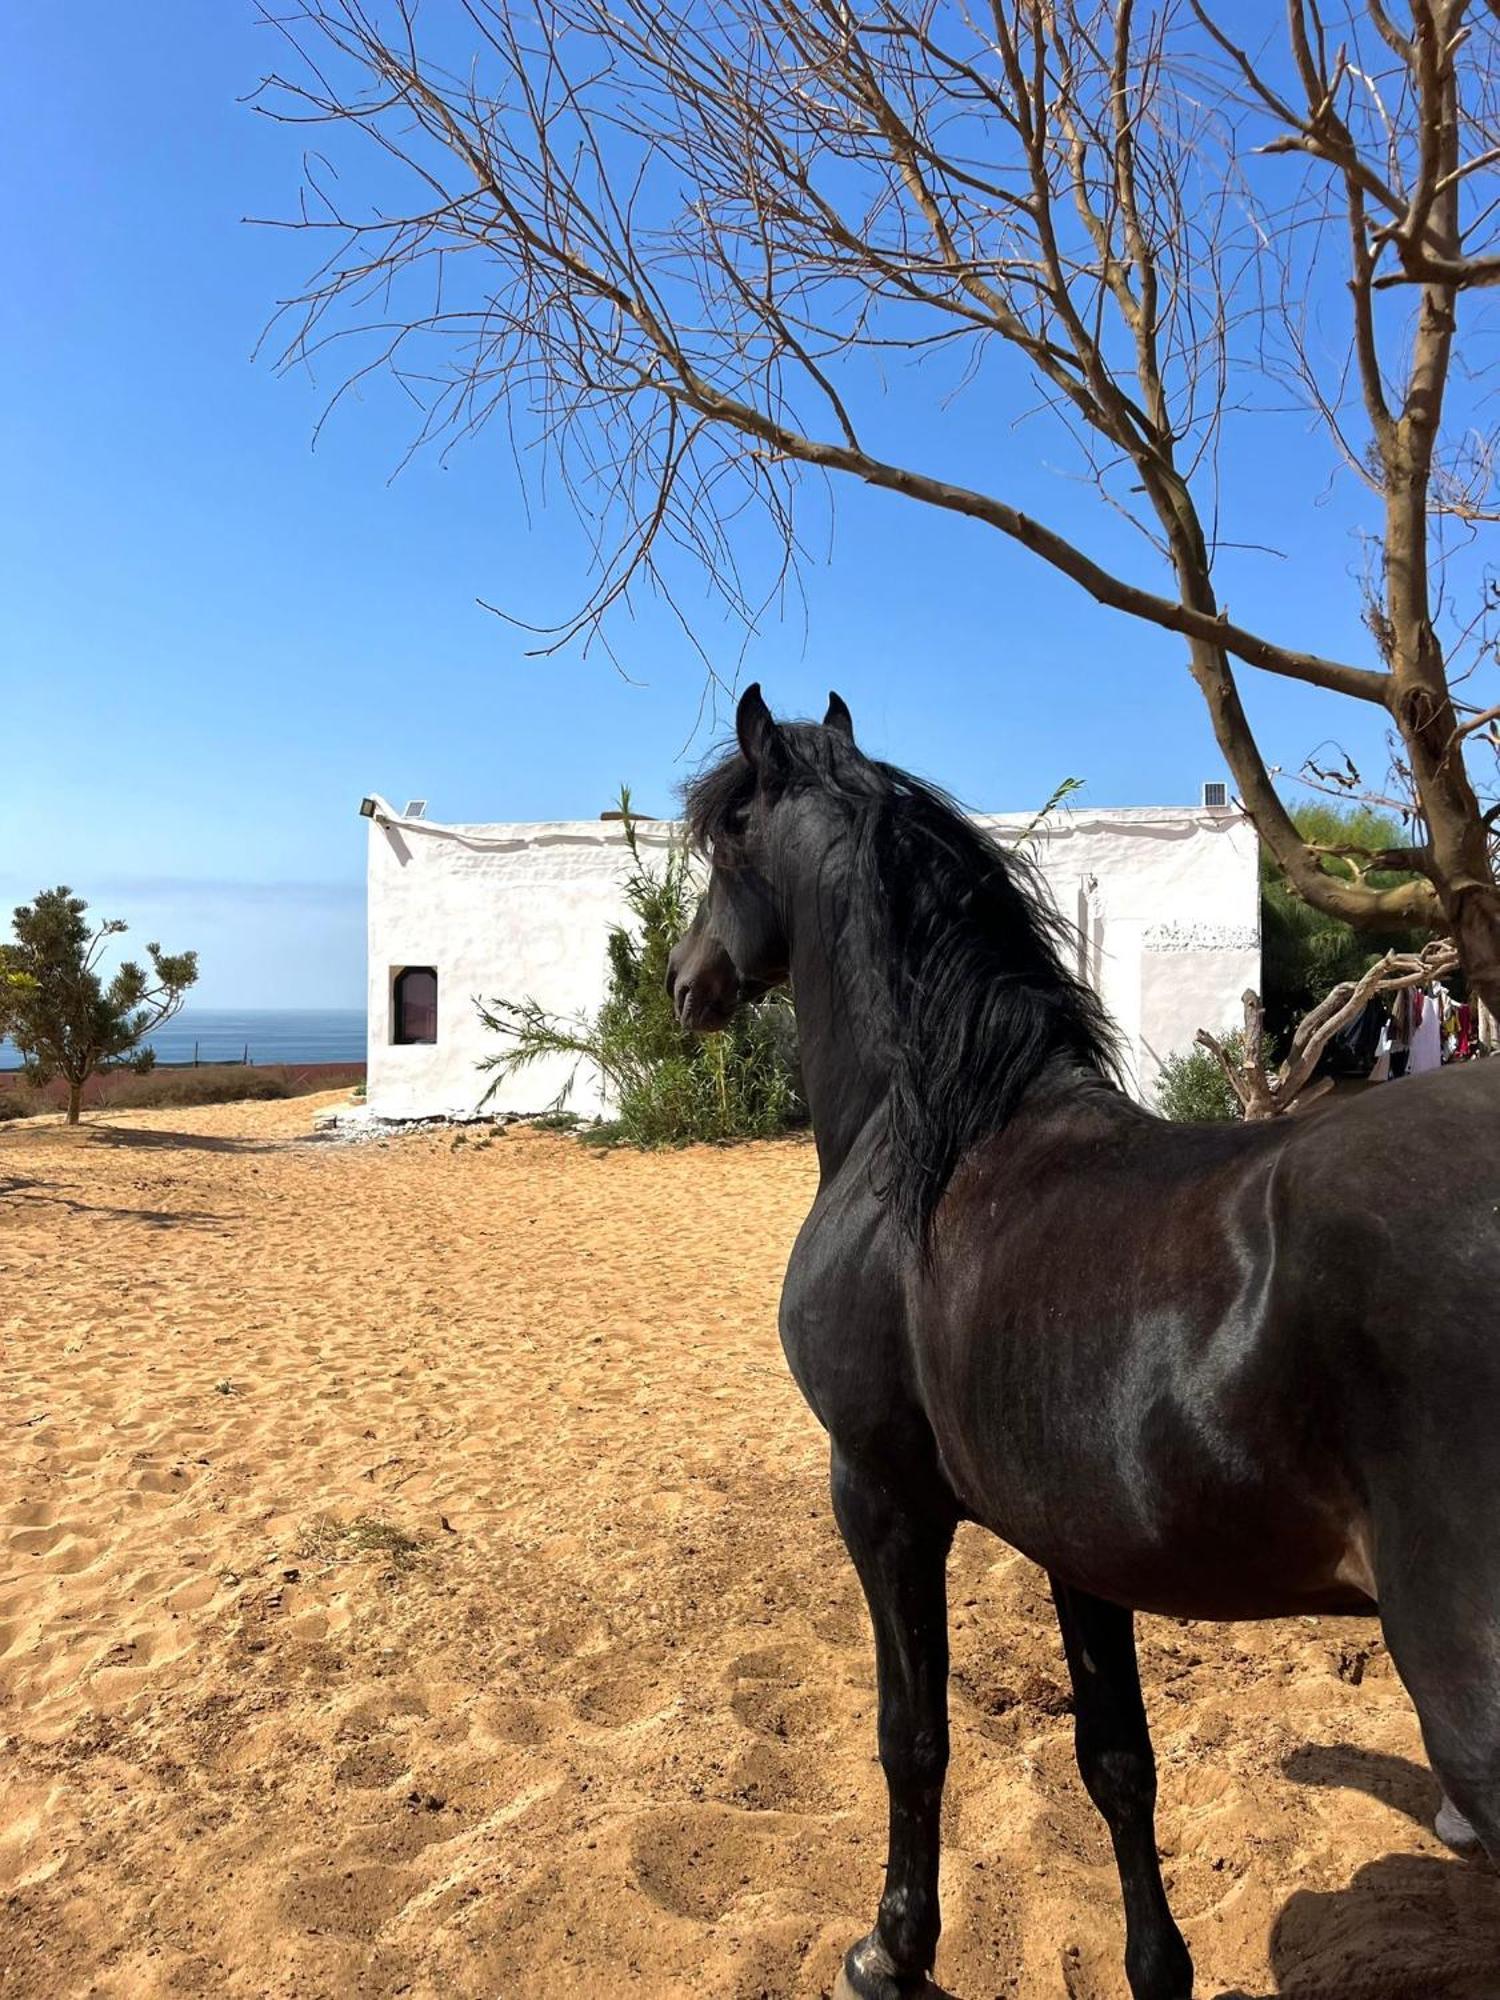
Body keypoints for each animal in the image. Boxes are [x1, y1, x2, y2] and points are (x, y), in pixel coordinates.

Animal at [668, 692, 1500, 2000]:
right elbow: (1117, 1761)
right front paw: (1155, 1966)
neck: (935, 1147)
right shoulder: (1078, 1537)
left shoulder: (880, 1496)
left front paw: (891, 1948)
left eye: (723, 845)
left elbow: (912, 1734)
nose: (683, 981)